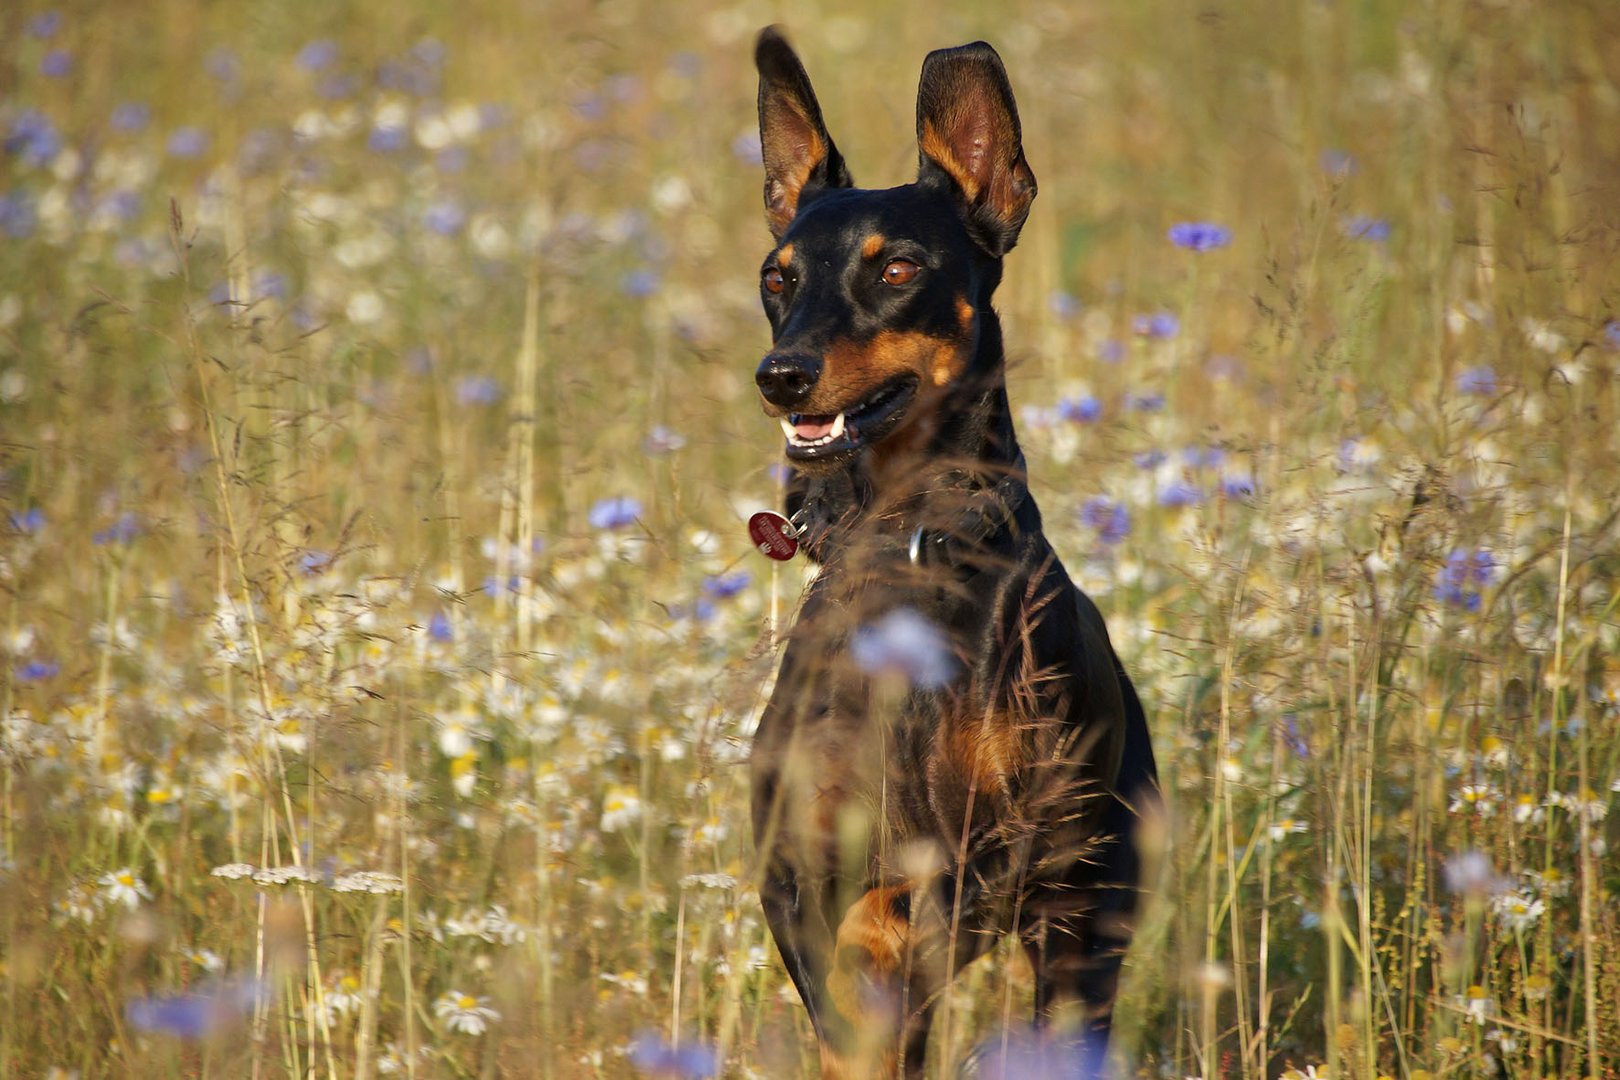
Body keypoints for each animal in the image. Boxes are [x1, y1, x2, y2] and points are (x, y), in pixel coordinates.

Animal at [745, 27, 1166, 1080]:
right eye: (777, 277)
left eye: (895, 270)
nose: (781, 375)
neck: (901, 544)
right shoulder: (790, 871)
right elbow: (844, 998)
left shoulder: (1002, 854)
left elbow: (888, 918)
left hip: (1084, 922)